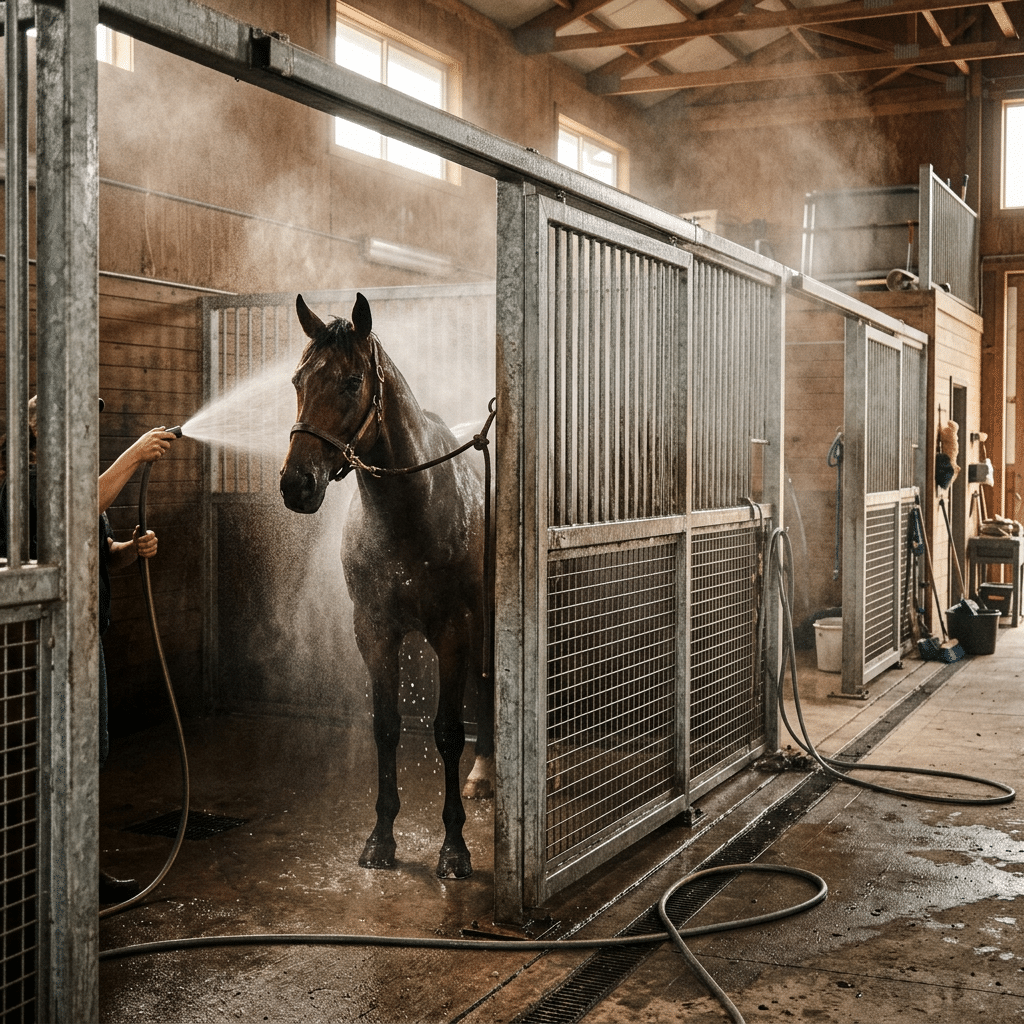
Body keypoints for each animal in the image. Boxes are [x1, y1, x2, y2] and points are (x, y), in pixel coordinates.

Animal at [279, 293, 493, 880]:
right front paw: (381, 838)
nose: (296, 484)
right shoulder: (373, 631)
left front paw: (454, 849)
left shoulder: (453, 629)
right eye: (298, 380)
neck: (410, 509)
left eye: (352, 382)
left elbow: (447, 731)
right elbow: (387, 726)